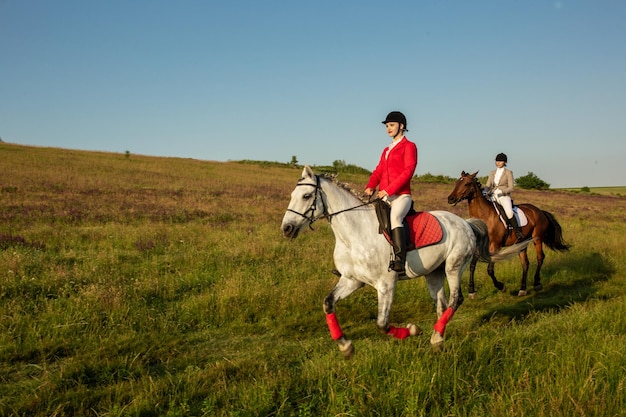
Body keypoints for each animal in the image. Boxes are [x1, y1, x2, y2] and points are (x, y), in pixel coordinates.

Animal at [280, 166, 528, 358]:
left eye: (306, 196)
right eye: (292, 195)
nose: (287, 229)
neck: (353, 235)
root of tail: (466, 223)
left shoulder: (386, 284)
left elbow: (382, 324)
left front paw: (413, 330)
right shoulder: (352, 280)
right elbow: (328, 303)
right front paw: (345, 346)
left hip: (453, 267)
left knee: (456, 300)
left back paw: (435, 336)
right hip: (434, 274)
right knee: (442, 305)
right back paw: (438, 337)